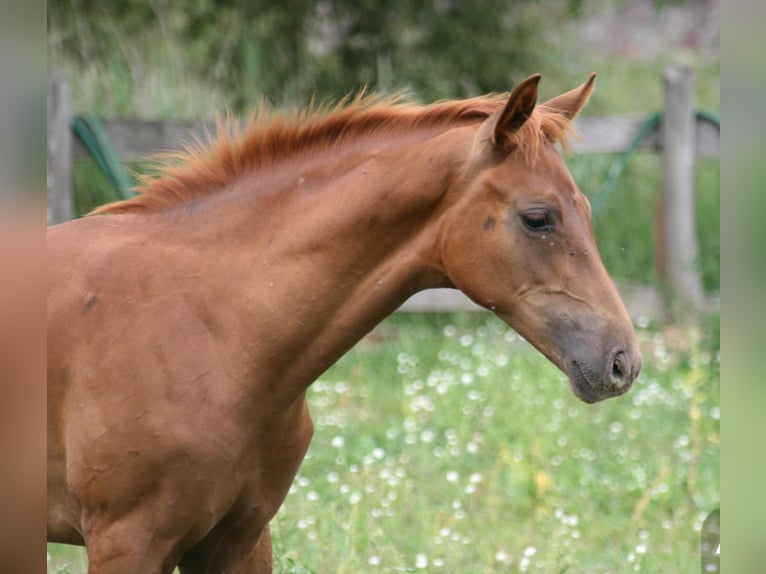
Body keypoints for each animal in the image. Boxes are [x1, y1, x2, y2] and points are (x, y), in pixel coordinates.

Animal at [46, 74, 640, 572]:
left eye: (587, 209)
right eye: (538, 218)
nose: (622, 362)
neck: (207, 326)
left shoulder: (239, 538)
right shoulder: (129, 541)